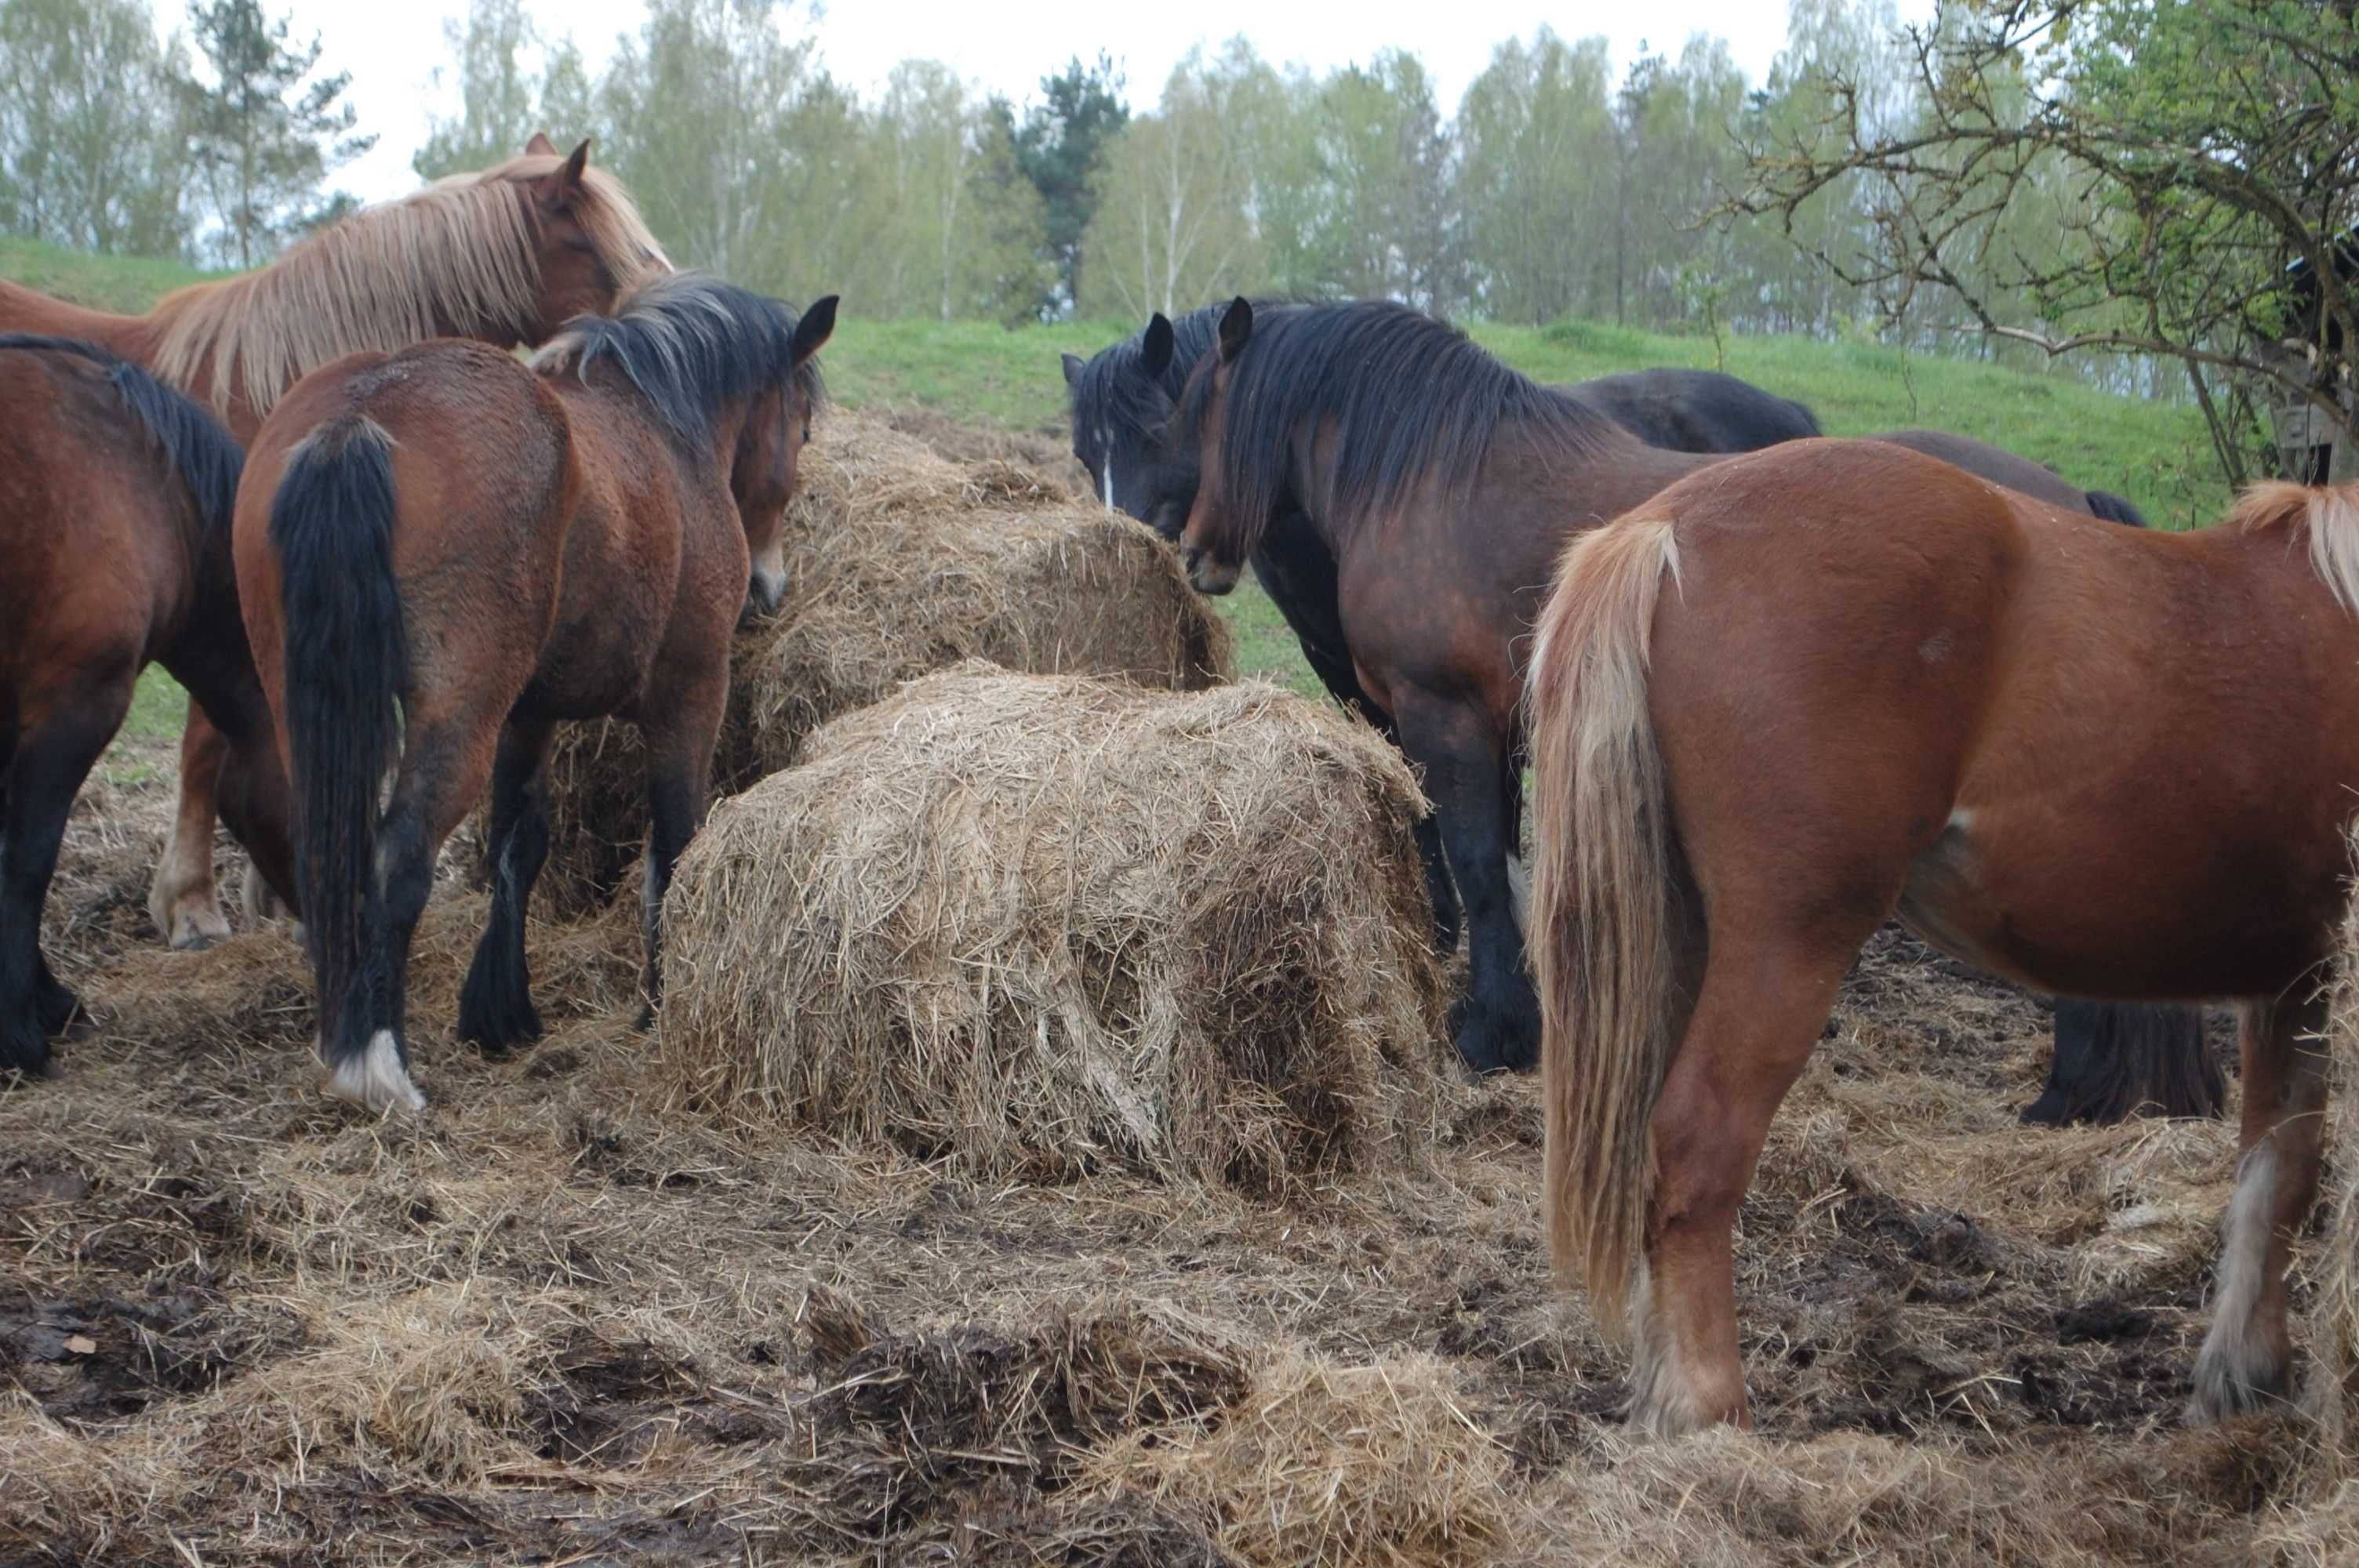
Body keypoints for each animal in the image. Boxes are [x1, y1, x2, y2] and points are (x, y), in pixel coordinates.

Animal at [234, 278, 834, 1112]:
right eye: (802, 430)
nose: (767, 589)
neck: (660, 424)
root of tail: (362, 412)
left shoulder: (528, 714)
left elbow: (519, 845)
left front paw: (500, 1010)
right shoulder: (690, 694)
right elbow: (674, 844)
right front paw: (659, 1006)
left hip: (309, 710)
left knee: (332, 853)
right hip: (458, 717)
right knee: (397, 858)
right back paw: (379, 1065)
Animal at [1169, 301, 2217, 1112]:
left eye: (1197, 411)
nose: (1191, 554)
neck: (1438, 477)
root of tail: (2067, 503)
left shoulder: (1447, 717)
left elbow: (1475, 870)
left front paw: (1490, 1033)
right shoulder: (1501, 725)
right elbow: (1506, 866)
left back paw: (2065, 1092)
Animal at [1519, 434, 2359, 1433]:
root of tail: (1663, 524)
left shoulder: (2292, 982)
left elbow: (2274, 1170)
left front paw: (2240, 1372)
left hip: (1683, 936)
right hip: (1784, 943)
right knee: (1695, 1143)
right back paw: (1703, 1401)